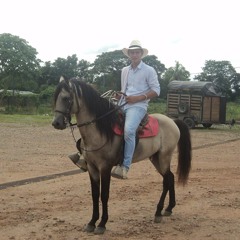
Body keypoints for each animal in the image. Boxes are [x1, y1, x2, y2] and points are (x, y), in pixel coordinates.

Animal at [52, 76, 191, 234]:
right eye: (56, 97)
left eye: (66, 98)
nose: (56, 123)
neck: (101, 130)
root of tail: (172, 121)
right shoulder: (92, 168)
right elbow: (95, 195)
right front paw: (92, 222)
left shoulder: (105, 167)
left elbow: (104, 195)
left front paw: (102, 224)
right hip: (155, 158)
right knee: (170, 177)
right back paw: (168, 208)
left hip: (164, 157)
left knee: (167, 180)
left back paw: (158, 212)